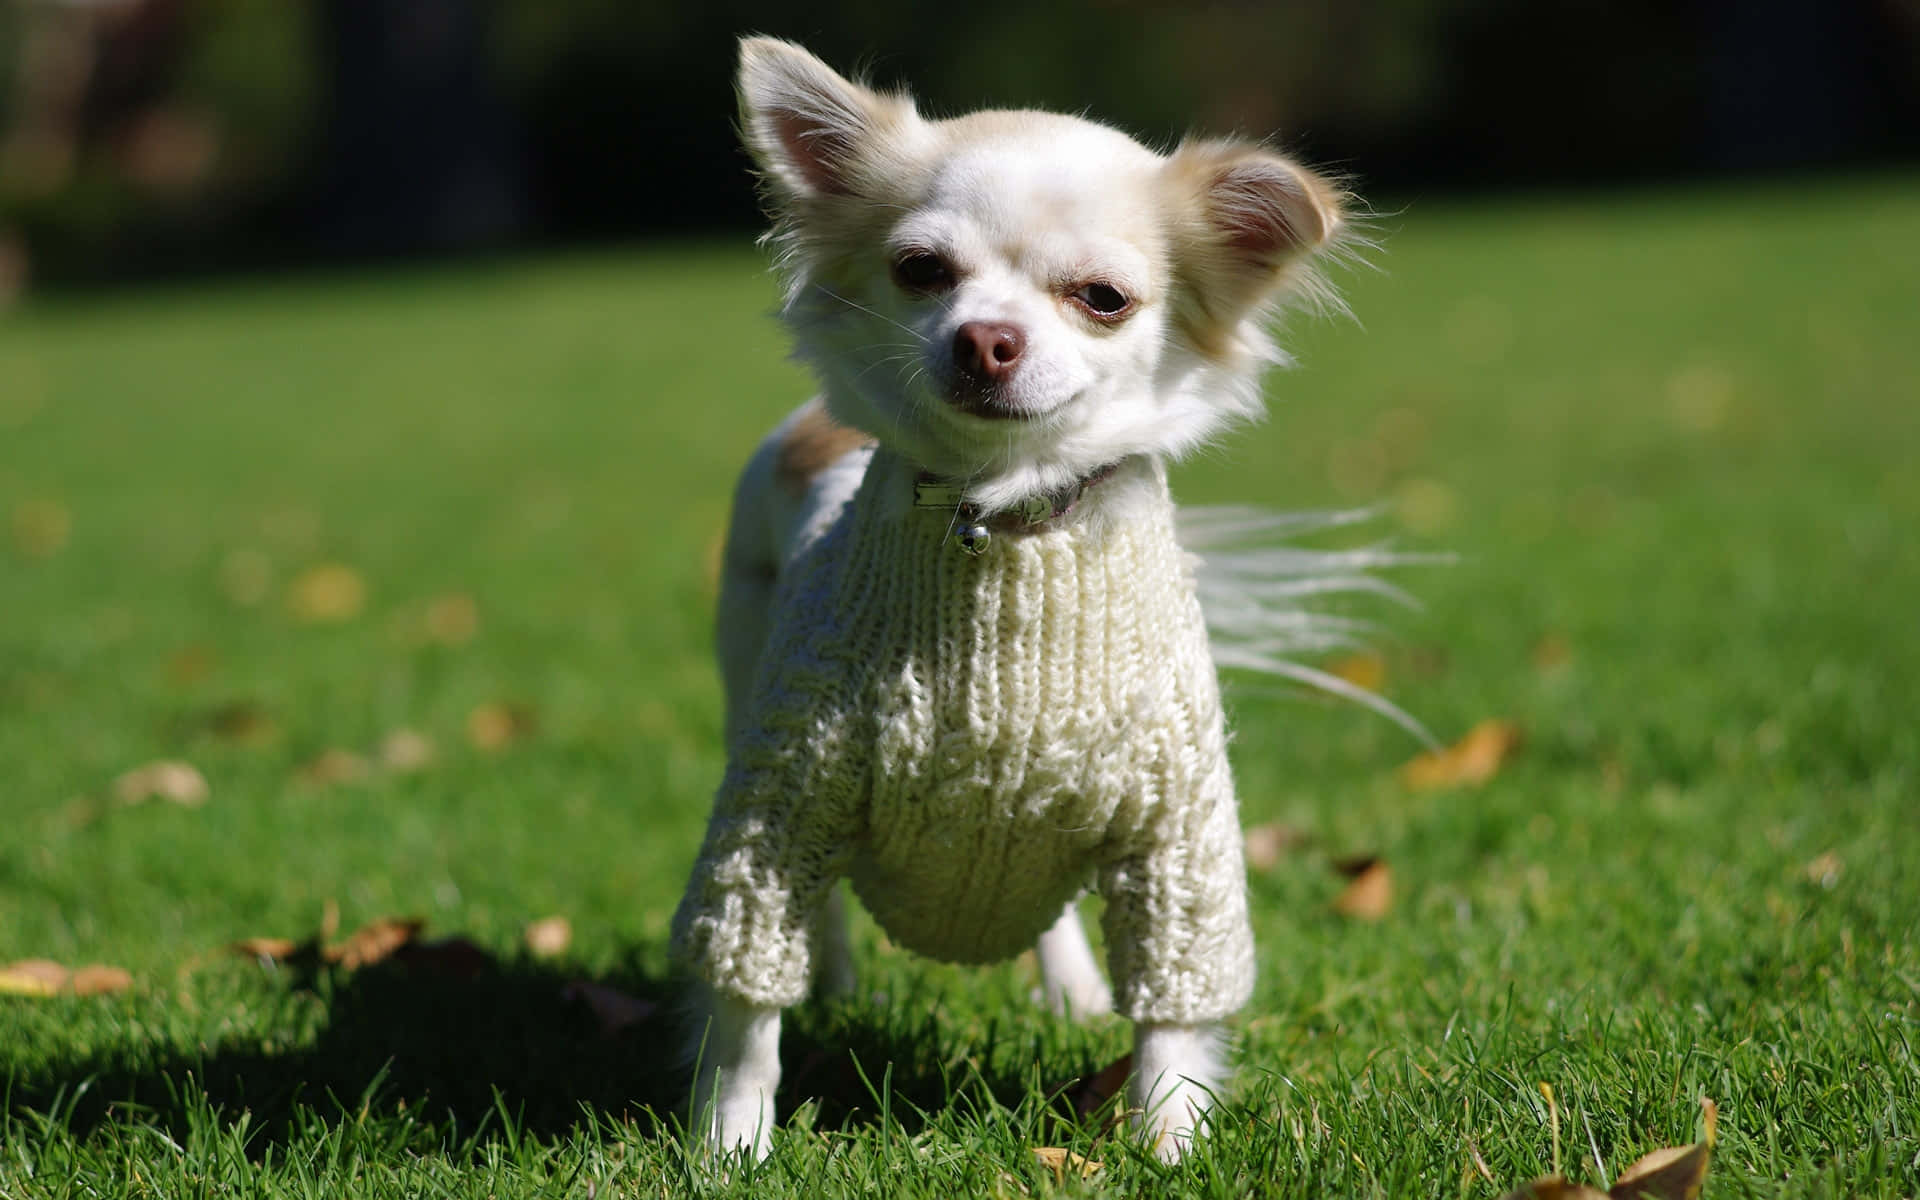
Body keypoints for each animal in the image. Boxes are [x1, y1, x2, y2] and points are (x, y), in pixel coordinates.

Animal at [675, 37, 1367, 1159]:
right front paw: (729, 1149)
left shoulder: (1173, 837)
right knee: (819, 917)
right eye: (921, 271)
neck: (1003, 518)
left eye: (1103, 297)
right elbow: (745, 1013)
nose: (985, 338)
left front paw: (1169, 1145)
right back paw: (835, 982)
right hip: (749, 698)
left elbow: (1174, 1017)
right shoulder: (781, 801)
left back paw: (1071, 988)